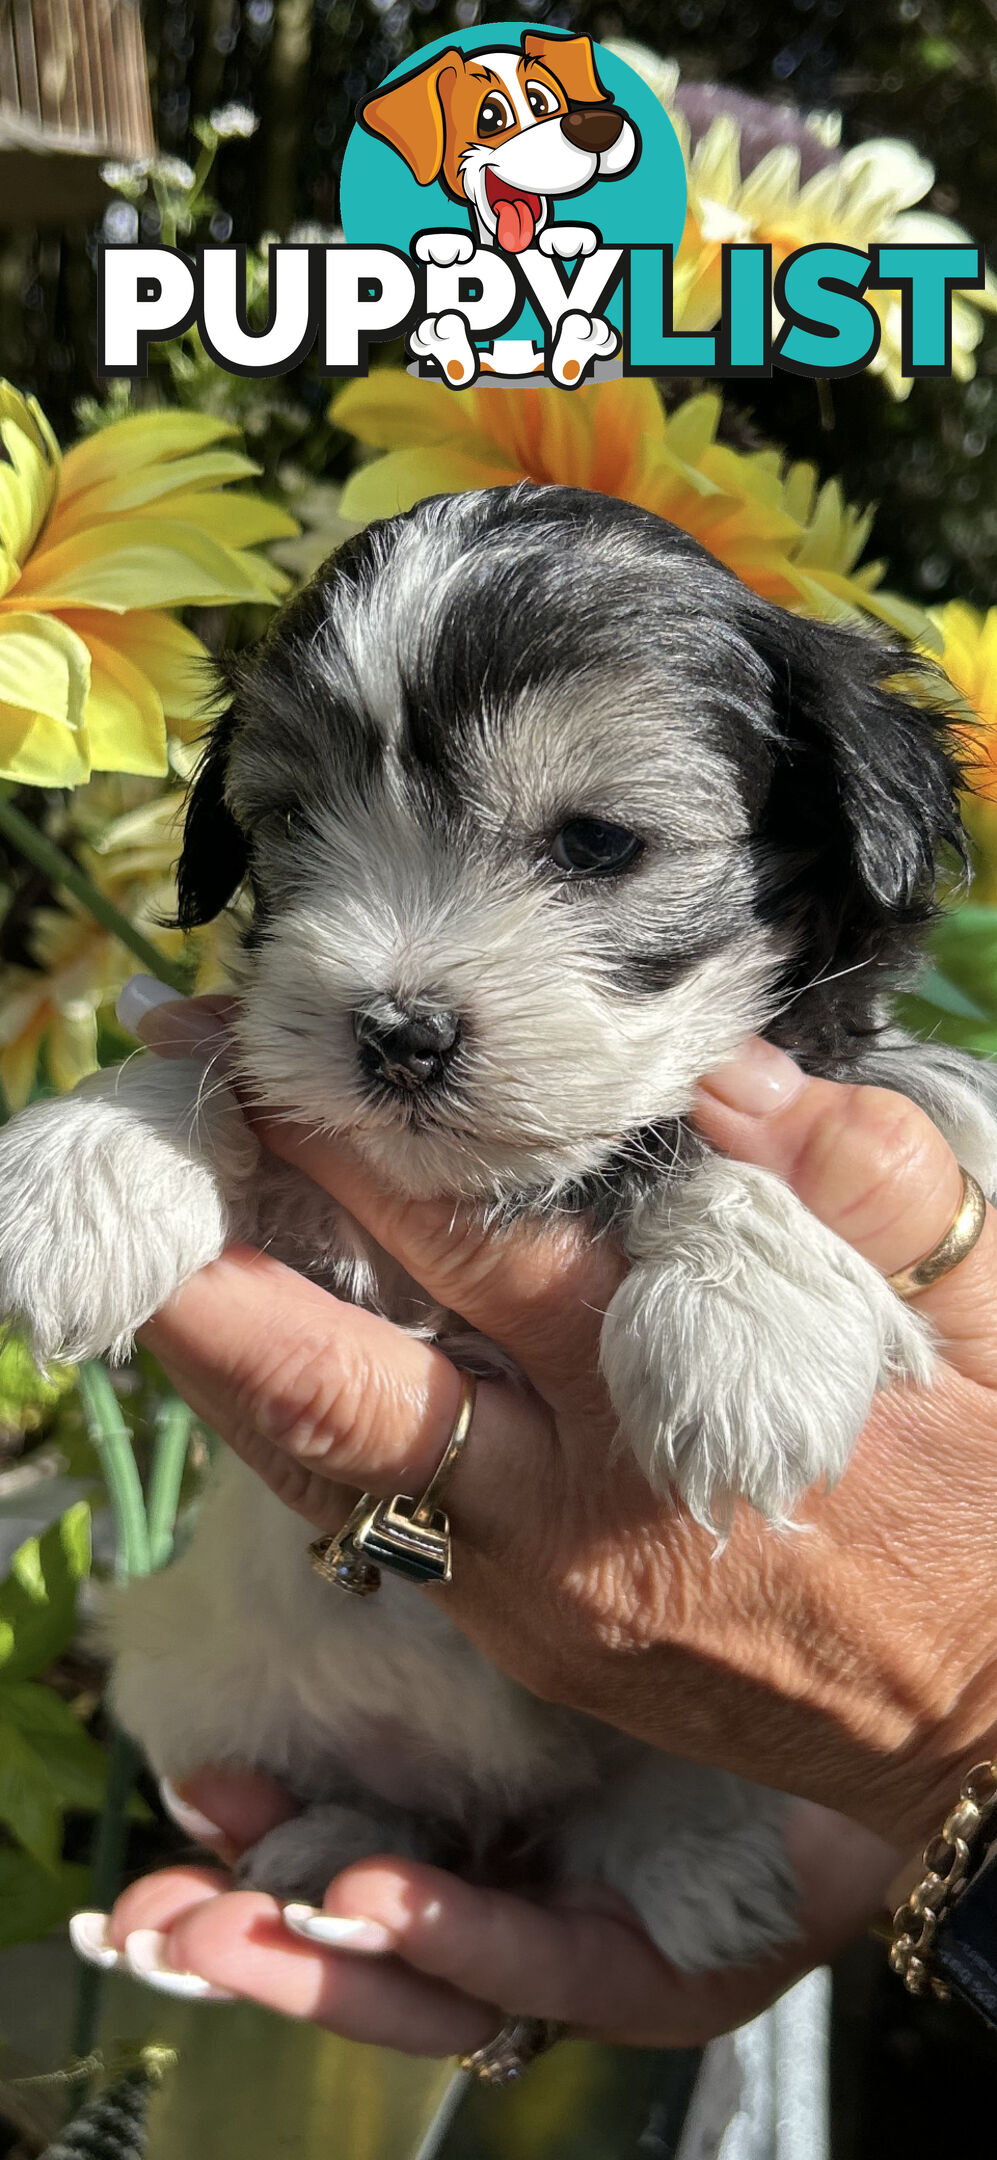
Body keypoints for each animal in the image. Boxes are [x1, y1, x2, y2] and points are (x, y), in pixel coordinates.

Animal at [1, 490, 996, 1978]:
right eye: (294, 826)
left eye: (596, 844)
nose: (395, 1033)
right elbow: (227, 1063)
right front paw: (89, 1168)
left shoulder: (923, 1117)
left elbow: (787, 1117)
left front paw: (743, 1339)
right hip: (187, 1666)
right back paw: (341, 1843)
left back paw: (693, 1869)